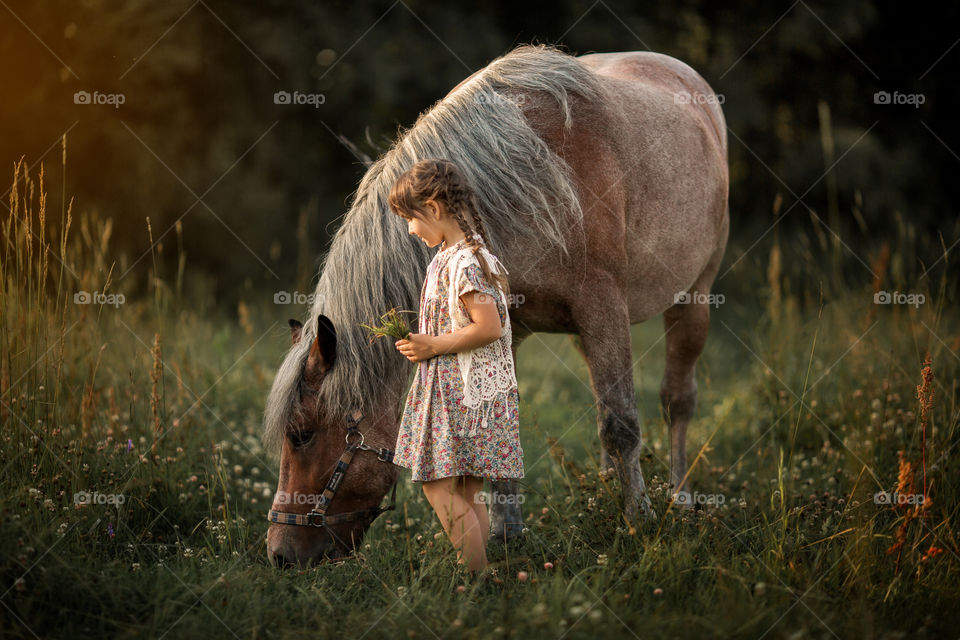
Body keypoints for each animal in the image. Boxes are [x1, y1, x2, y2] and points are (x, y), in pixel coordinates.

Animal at [262, 43, 728, 564]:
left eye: (301, 434)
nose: (279, 553)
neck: (524, 183)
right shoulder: (510, 327)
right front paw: (506, 535)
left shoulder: (603, 307)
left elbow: (622, 423)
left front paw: (639, 522)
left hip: (692, 299)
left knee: (675, 401)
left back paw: (678, 498)